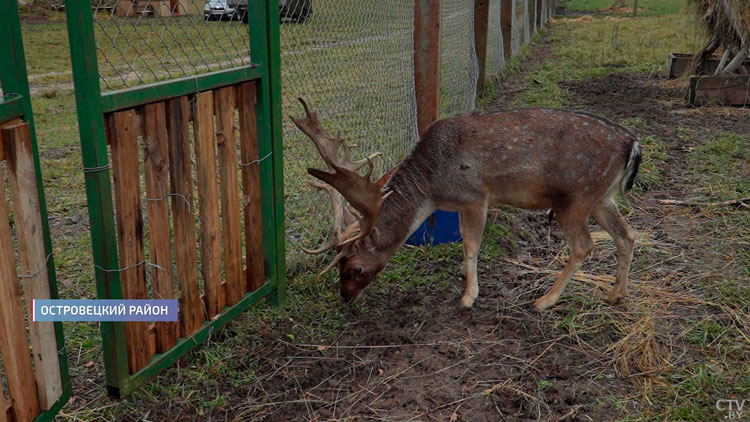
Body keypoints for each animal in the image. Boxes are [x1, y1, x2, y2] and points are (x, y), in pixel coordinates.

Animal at [292, 98, 640, 310]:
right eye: (338, 265)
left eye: (356, 267)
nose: (345, 296)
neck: (433, 187)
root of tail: (633, 143)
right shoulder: (460, 204)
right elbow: (463, 243)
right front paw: (463, 275)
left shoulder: (475, 196)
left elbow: (472, 244)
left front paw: (469, 296)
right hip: (603, 197)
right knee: (628, 234)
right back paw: (616, 294)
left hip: (577, 197)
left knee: (584, 245)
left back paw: (546, 300)